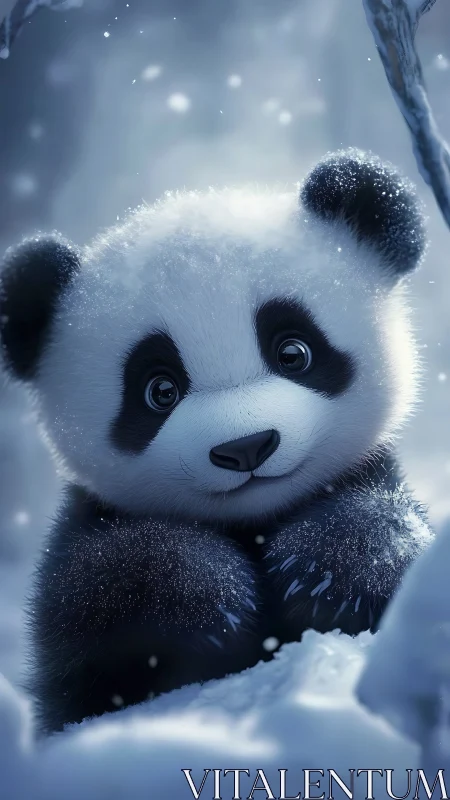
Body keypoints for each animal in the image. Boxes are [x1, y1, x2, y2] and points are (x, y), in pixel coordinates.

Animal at [0, 149, 434, 734]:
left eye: (293, 352)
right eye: (159, 390)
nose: (247, 446)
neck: (253, 521)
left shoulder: (374, 476)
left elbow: (393, 541)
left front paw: (332, 569)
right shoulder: (84, 547)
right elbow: (102, 596)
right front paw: (205, 598)